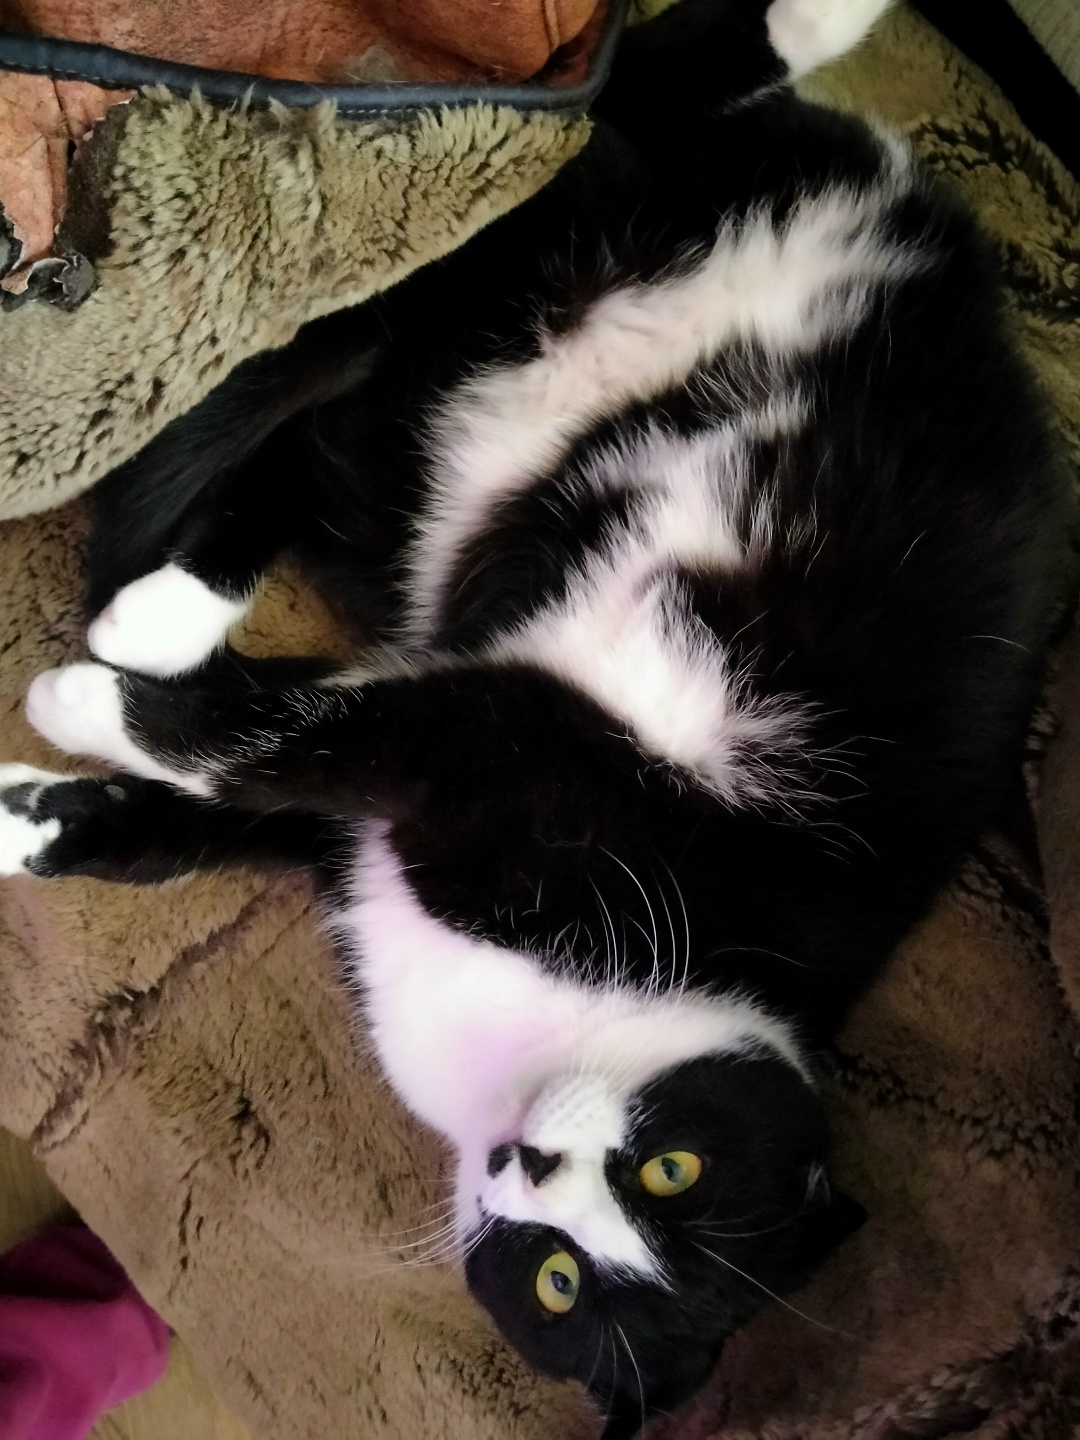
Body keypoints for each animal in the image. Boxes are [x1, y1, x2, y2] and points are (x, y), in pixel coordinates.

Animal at [0, 0, 1070, 1434]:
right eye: (674, 1171)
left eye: (562, 1283)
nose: (534, 1167)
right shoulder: (543, 762)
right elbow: (310, 731)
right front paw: (81, 697)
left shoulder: (390, 820)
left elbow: (240, 788)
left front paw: (34, 811)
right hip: (596, 239)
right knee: (634, 99)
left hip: (452, 444)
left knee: (353, 422)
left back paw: (163, 610)